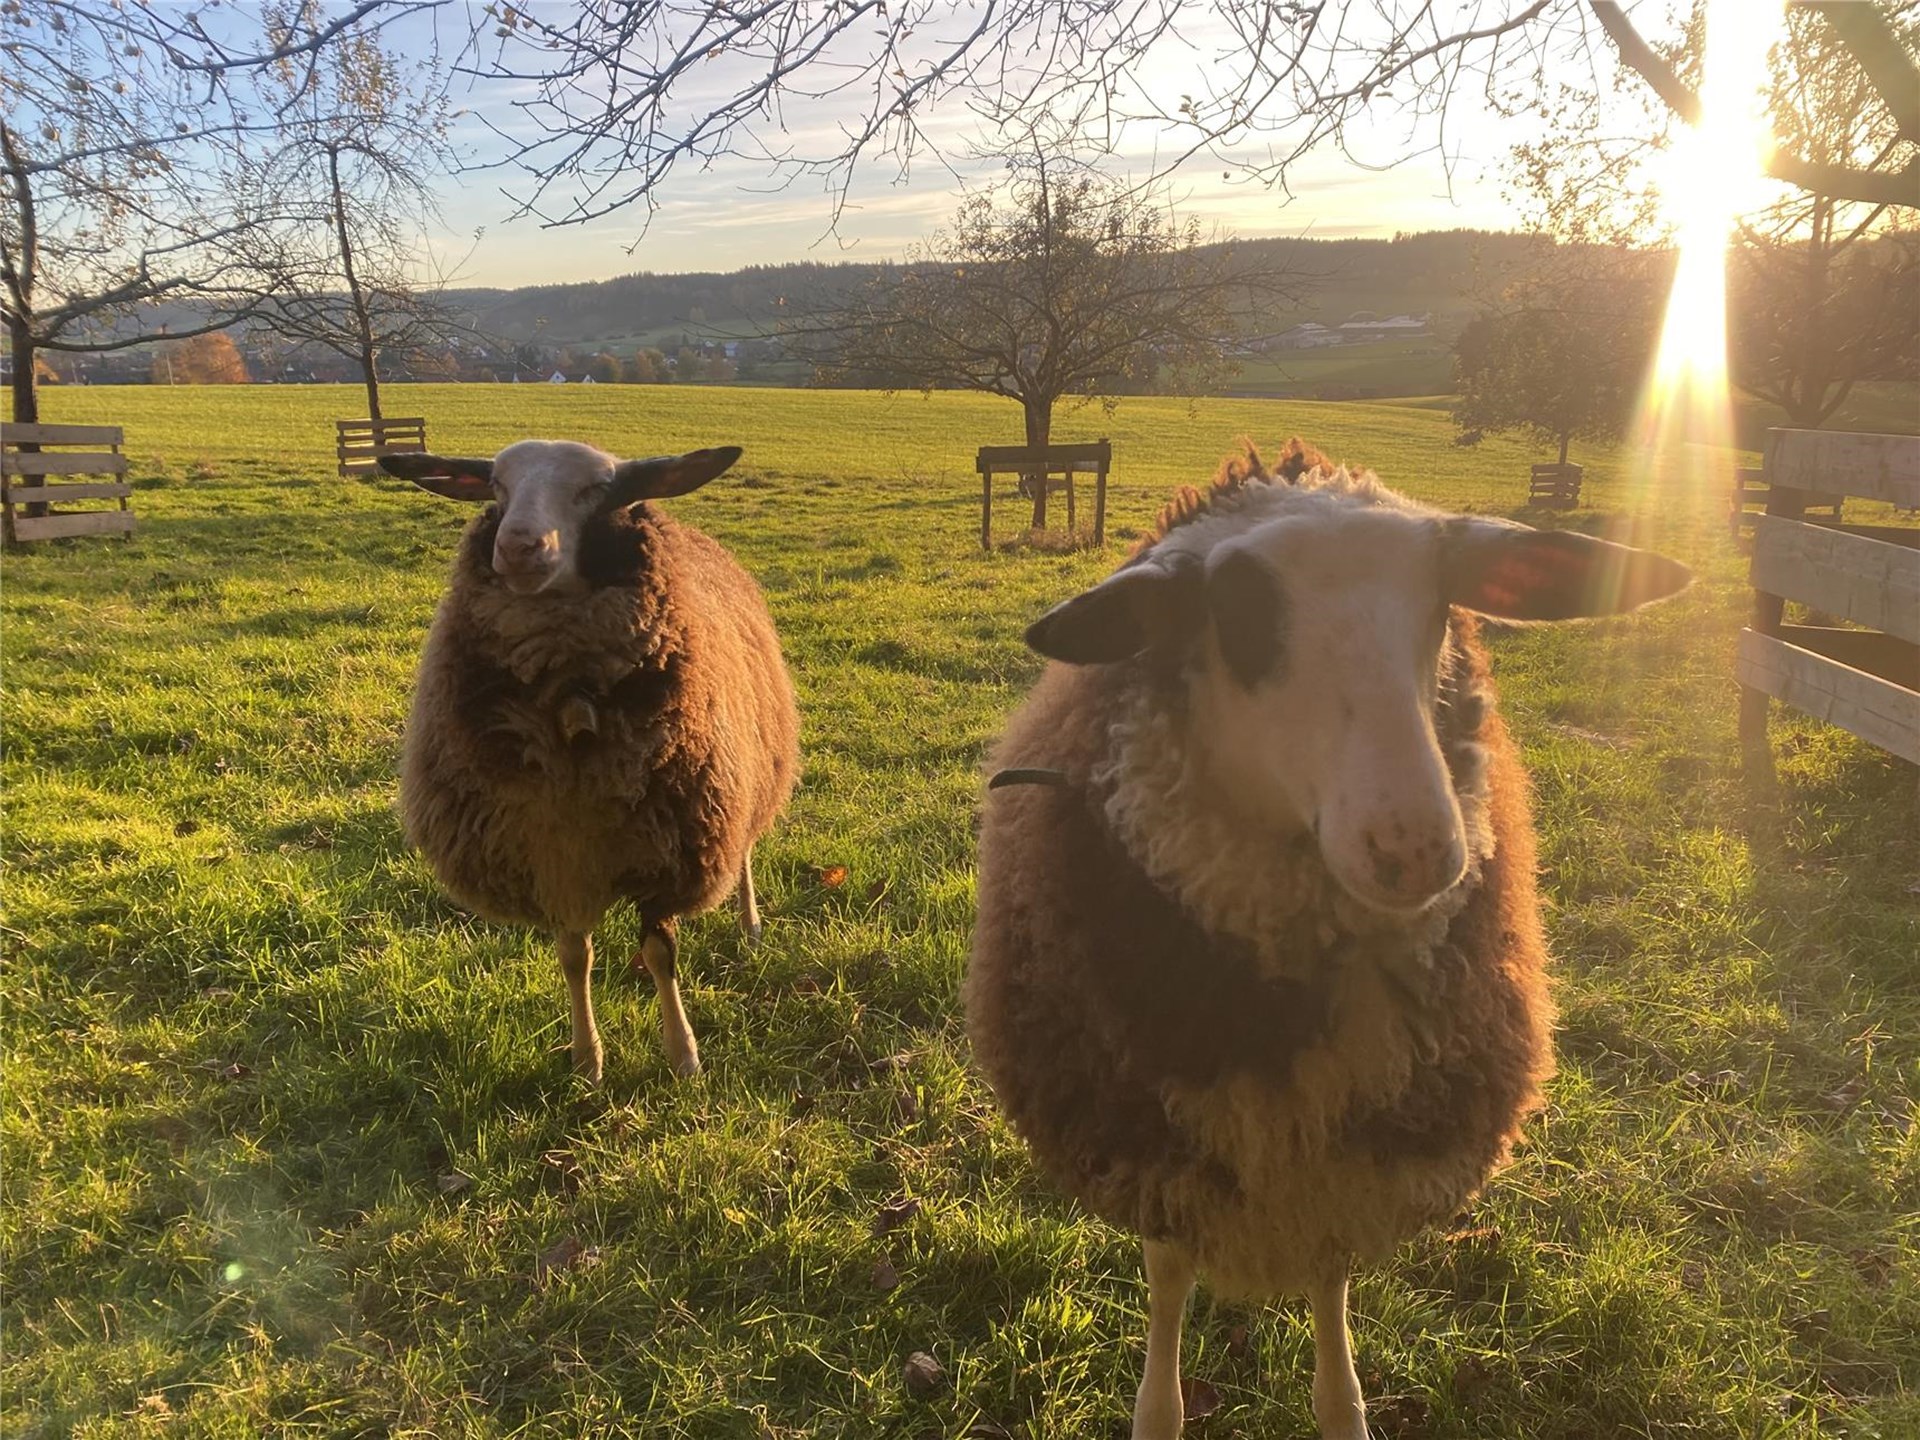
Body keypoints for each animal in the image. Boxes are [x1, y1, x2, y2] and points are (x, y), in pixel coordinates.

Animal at [380, 439, 800, 1087]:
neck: (572, 715)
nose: (517, 546)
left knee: (746, 851)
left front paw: (683, 1055)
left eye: (596, 490)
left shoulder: (670, 854)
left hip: (740, 780)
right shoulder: (553, 858)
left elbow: (660, 954)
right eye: (497, 486)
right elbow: (574, 955)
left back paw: (750, 923)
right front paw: (586, 1060)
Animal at [964, 439, 1691, 1439]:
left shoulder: (1353, 1160)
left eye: (1440, 605)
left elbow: (1330, 1286)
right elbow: (1167, 1283)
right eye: (1237, 613)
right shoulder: (1156, 1140)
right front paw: (1160, 1408)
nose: (1415, 846)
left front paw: (1341, 1403)